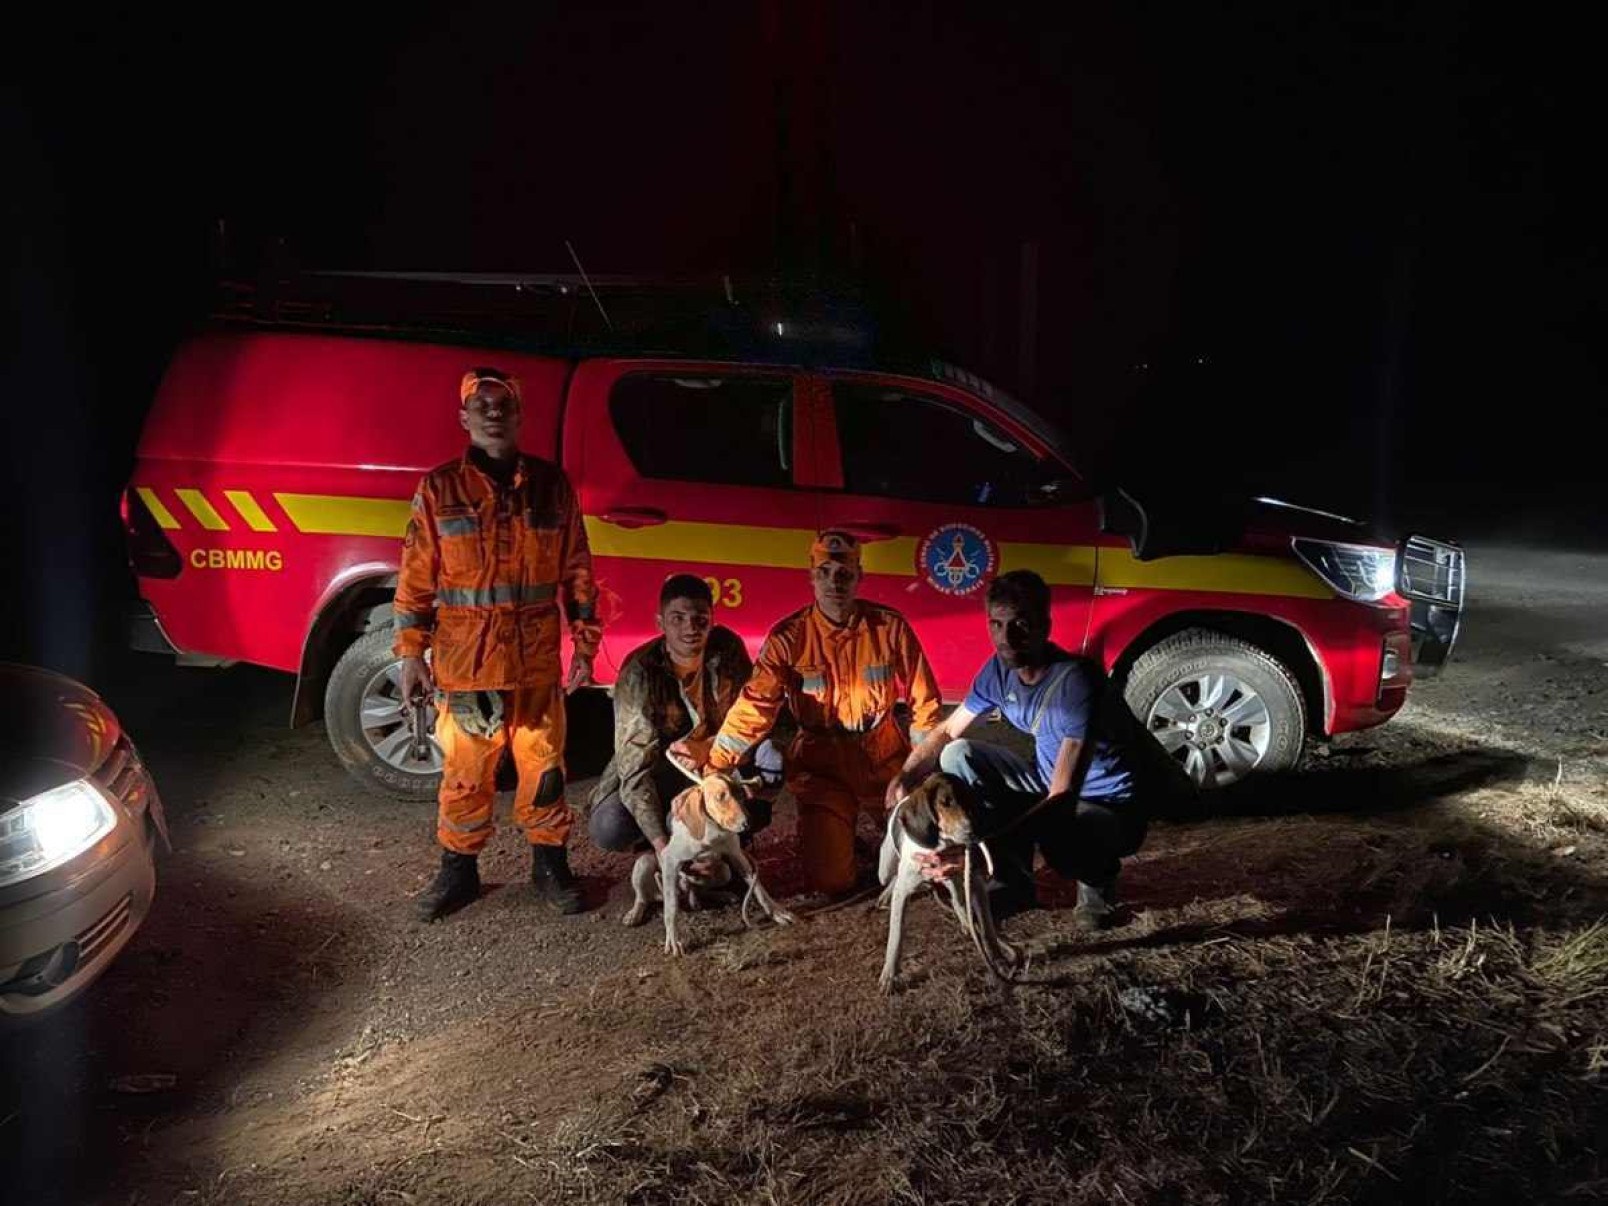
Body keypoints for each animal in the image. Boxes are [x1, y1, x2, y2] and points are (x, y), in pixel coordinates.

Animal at [617, 768, 794, 958]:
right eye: (720, 797)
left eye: (741, 794)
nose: (747, 823)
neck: (713, 831)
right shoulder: (670, 860)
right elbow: (671, 907)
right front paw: (673, 939)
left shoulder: (737, 855)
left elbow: (759, 888)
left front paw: (776, 912)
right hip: (643, 864)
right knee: (644, 897)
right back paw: (634, 913)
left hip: (724, 871)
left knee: (702, 890)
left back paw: (720, 895)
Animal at [881, 775, 1016, 990]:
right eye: (944, 803)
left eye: (968, 800)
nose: (974, 830)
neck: (943, 847)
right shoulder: (902, 893)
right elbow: (896, 936)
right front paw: (889, 975)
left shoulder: (976, 884)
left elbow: (987, 932)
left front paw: (999, 961)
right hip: (884, 869)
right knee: (891, 877)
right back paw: (885, 894)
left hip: (953, 878)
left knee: (957, 901)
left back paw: (966, 922)